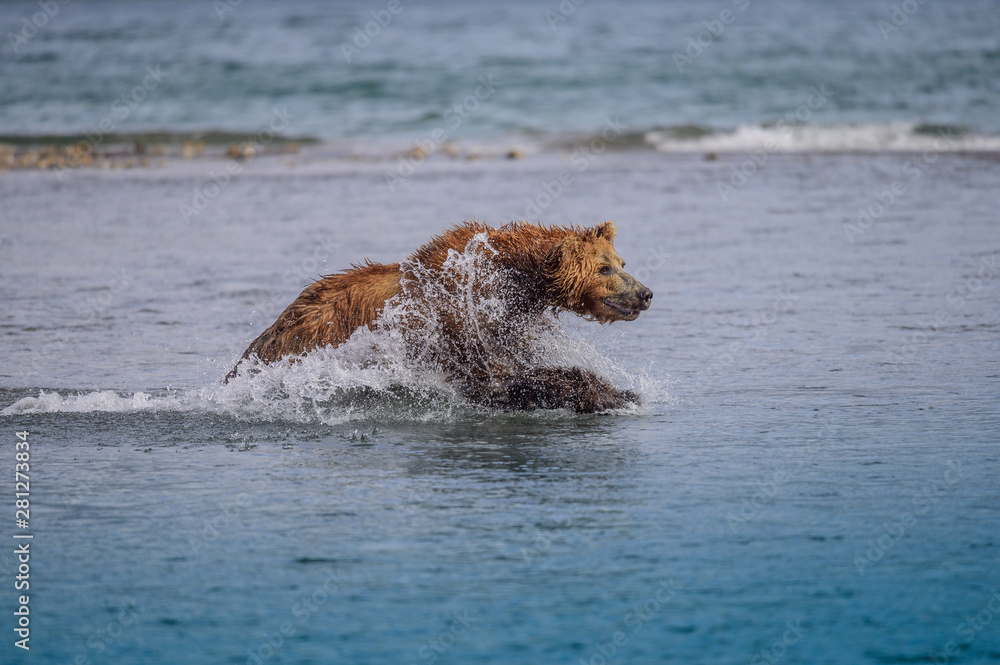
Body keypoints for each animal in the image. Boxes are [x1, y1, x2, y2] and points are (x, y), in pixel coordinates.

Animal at [226, 220, 653, 413]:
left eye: (621, 262)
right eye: (603, 268)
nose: (645, 294)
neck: (516, 278)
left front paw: (619, 390)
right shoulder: (461, 318)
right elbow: (499, 376)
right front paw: (597, 393)